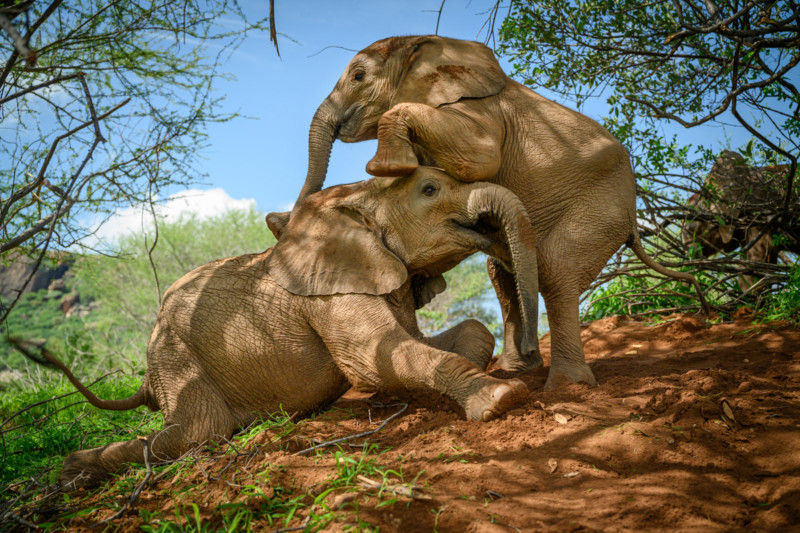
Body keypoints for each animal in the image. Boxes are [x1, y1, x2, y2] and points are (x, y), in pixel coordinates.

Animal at [40, 168, 536, 488]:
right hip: (173, 352)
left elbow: (432, 341)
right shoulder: (328, 293)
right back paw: (71, 476)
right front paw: (503, 398)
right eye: (430, 189)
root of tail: (146, 373)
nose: (529, 354)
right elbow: (376, 360)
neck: (356, 198)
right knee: (201, 432)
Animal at [296, 35, 708, 388]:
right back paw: (517, 369)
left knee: (556, 267)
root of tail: (634, 221)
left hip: (604, 206)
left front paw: (385, 168)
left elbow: (479, 157)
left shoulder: (481, 110)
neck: (422, 43)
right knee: (502, 273)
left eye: (358, 76)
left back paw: (566, 384)